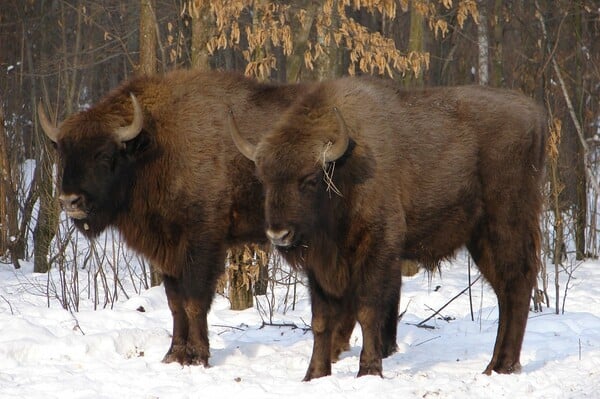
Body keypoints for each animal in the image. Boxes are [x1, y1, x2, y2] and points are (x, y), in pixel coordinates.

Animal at [231, 76, 548, 380]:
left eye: (309, 179)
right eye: (264, 179)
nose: (279, 235)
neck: (345, 168)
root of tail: (534, 114)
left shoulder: (377, 247)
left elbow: (368, 310)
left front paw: (369, 370)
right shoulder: (320, 268)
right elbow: (321, 319)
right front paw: (314, 375)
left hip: (505, 225)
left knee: (517, 285)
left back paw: (501, 366)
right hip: (479, 239)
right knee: (505, 291)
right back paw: (496, 365)